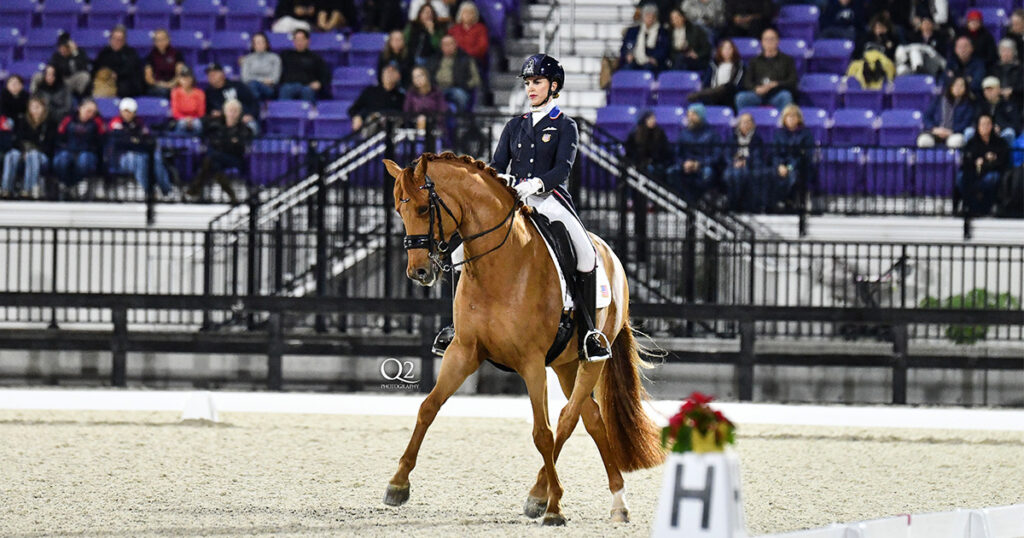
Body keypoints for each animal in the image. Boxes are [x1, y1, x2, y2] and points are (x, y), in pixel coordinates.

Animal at [381, 152, 664, 525]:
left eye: (424, 208)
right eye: (399, 211)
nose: (419, 272)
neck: (499, 265)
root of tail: (612, 257)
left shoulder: (531, 363)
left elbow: (542, 433)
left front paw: (556, 508)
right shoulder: (463, 352)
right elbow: (428, 407)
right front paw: (398, 485)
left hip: (590, 360)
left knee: (568, 418)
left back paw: (550, 497)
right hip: (565, 364)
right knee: (591, 417)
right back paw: (603, 498)